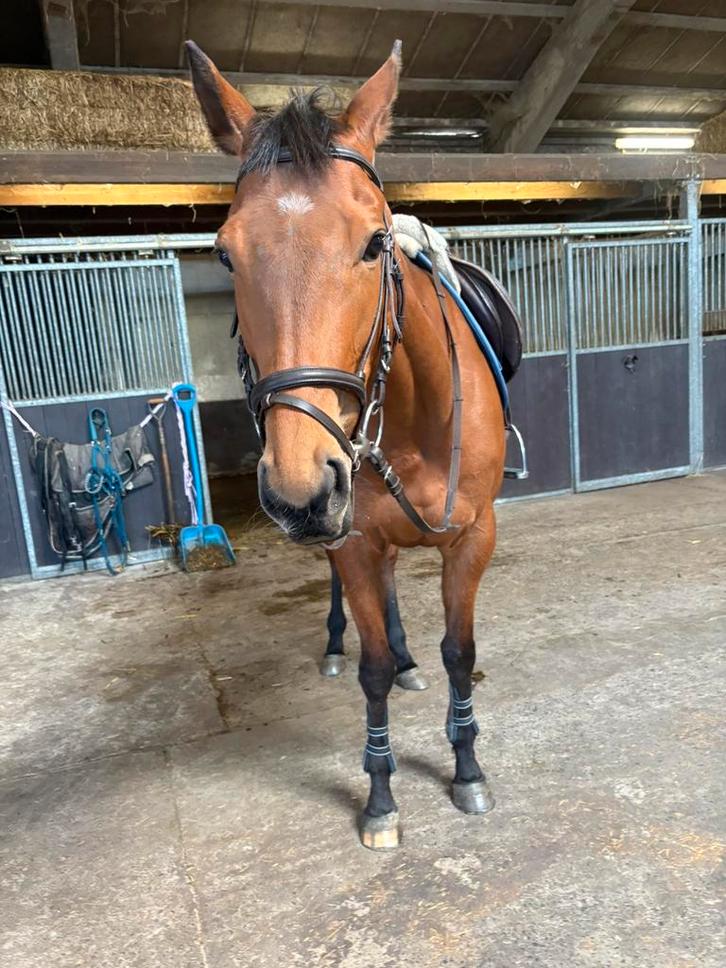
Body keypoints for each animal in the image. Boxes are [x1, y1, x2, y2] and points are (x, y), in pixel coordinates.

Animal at [187, 39, 507, 849]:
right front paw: (382, 796)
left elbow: (461, 654)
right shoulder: (355, 539)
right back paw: (343, 646)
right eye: (226, 254)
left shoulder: (474, 536)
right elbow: (371, 669)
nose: (301, 488)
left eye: (374, 242)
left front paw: (467, 768)